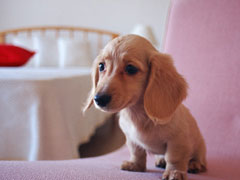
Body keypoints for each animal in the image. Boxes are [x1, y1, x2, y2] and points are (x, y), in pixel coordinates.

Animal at [84, 34, 206, 179]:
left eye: (131, 68)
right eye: (101, 66)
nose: (98, 99)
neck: (138, 115)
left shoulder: (177, 140)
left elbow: (174, 158)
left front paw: (174, 172)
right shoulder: (132, 139)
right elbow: (137, 153)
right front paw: (135, 165)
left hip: (200, 147)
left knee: (198, 158)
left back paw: (194, 164)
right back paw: (161, 160)